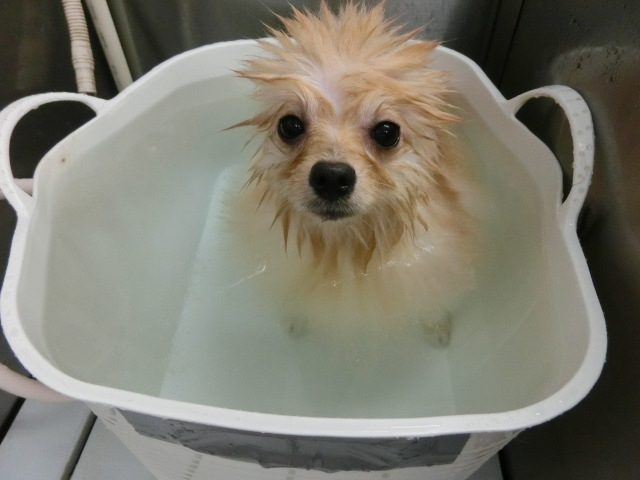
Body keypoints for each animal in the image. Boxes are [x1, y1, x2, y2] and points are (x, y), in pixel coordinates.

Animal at [228, 1, 480, 346]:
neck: (346, 248)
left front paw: (436, 325)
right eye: (289, 126)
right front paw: (296, 318)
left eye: (387, 132)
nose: (332, 177)